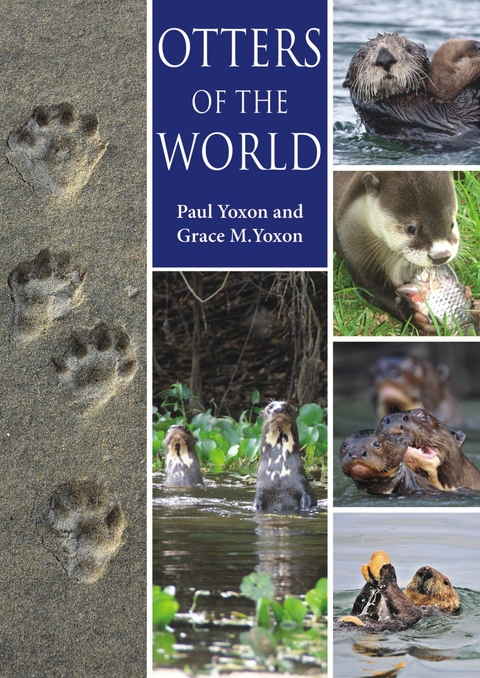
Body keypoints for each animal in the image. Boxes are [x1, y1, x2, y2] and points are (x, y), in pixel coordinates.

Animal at [334, 171, 459, 329]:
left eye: (451, 224)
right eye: (411, 228)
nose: (441, 256)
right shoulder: (355, 253)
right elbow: (376, 292)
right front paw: (416, 318)